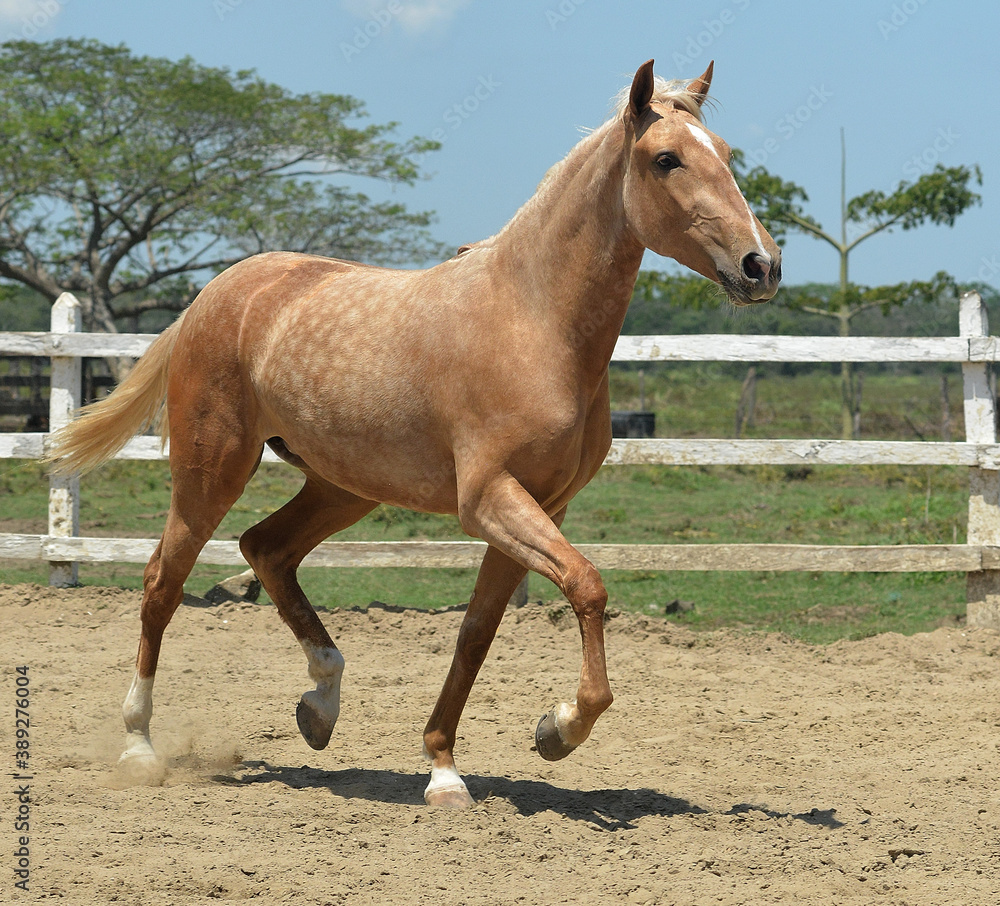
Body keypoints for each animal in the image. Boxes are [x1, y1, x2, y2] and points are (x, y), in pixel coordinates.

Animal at [46, 60, 781, 808]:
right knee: (163, 582)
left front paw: (447, 768)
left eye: (725, 152)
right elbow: (587, 586)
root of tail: (214, 294)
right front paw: (559, 729)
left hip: (344, 486)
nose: (762, 265)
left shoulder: (541, 506)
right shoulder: (487, 499)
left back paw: (320, 706)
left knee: (266, 549)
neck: (534, 320)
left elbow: (477, 633)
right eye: (666, 159)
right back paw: (140, 747)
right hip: (213, 470)